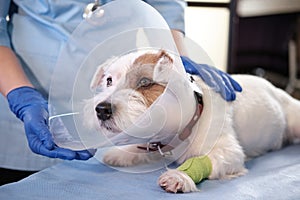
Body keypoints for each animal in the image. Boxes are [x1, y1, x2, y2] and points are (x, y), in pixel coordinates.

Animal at [82, 49, 300, 193]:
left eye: (145, 82)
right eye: (109, 80)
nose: (101, 110)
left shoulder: (229, 152)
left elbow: (204, 160)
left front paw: (179, 176)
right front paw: (123, 152)